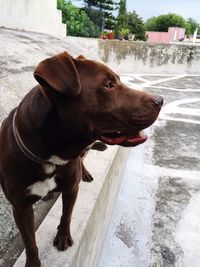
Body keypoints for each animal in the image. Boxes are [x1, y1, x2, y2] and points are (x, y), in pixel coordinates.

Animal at [0, 51, 162, 266]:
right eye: (108, 84)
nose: (160, 100)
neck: (50, 159)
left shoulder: (71, 188)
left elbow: (66, 214)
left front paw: (62, 236)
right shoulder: (20, 207)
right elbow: (29, 242)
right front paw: (33, 262)